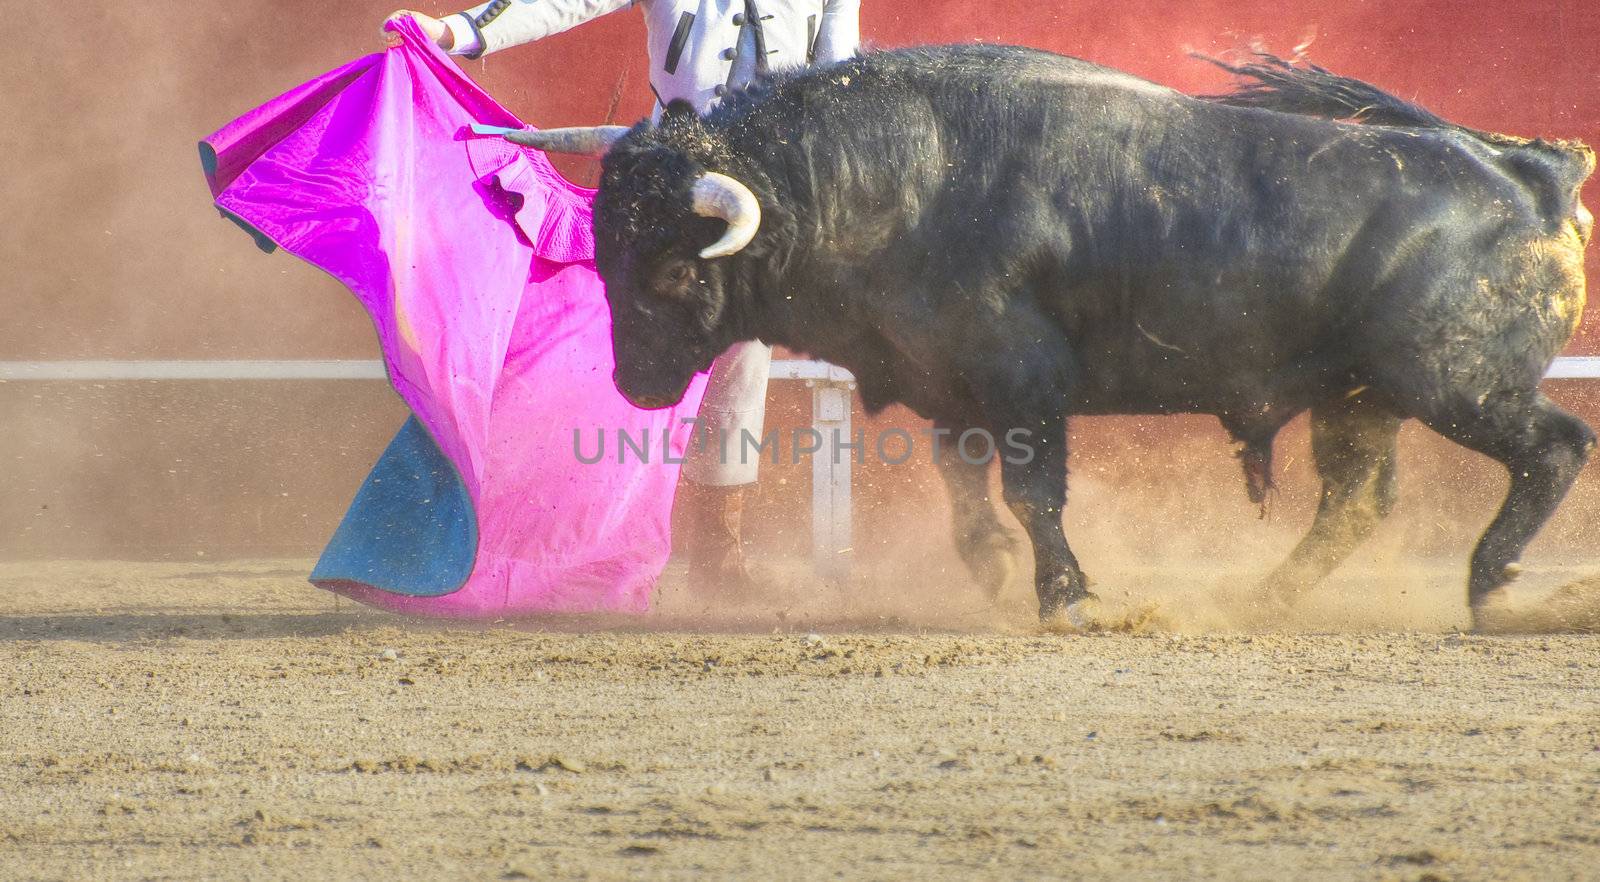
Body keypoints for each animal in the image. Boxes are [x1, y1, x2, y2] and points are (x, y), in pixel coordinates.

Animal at [560, 46, 1587, 627]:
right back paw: (1261, 600)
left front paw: (1066, 597)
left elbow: (1031, 490)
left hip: (1458, 385)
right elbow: (961, 479)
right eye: (605, 257)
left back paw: (1495, 588)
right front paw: (989, 565)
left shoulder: (1022, 382)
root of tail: (1530, 173)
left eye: (670, 270)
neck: (886, 180)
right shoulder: (951, 383)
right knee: (1356, 501)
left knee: (1556, 448)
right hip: (1364, 398)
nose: (636, 387)